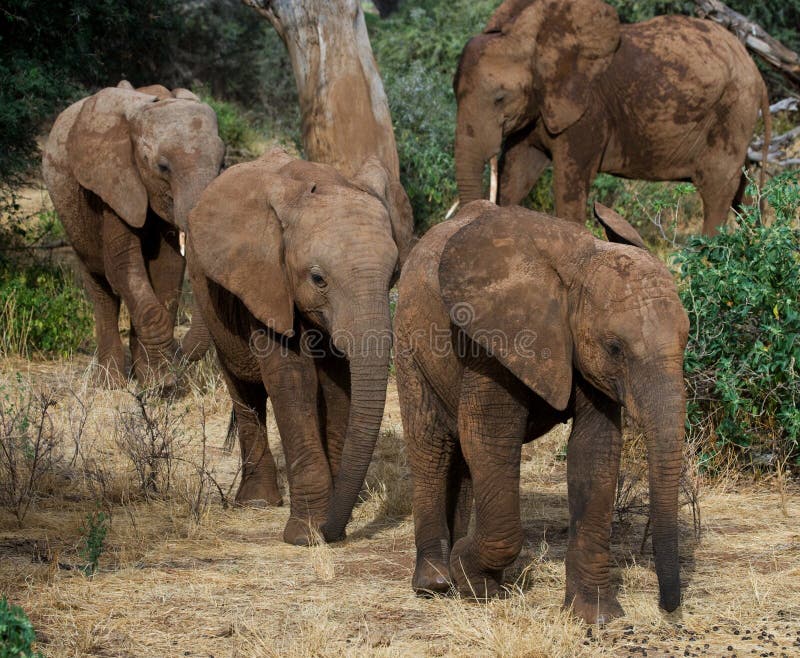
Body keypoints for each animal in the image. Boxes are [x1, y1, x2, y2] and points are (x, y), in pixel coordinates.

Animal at [43, 80, 225, 384]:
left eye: (223, 164)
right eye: (163, 167)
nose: (181, 355)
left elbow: (168, 268)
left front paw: (155, 379)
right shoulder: (111, 184)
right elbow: (122, 266)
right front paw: (164, 381)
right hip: (74, 222)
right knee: (101, 291)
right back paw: (110, 381)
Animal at [188, 147, 412, 544]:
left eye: (393, 274)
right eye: (318, 278)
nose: (333, 531)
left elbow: (338, 386)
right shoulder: (267, 282)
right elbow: (294, 383)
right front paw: (306, 535)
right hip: (212, 308)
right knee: (244, 392)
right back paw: (258, 502)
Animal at [396, 202, 692, 624]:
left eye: (687, 338)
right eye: (615, 347)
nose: (668, 607)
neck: (577, 270)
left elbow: (595, 448)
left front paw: (596, 616)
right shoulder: (493, 340)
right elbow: (489, 437)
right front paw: (474, 581)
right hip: (408, 343)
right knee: (431, 446)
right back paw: (435, 582)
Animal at [454, 0, 772, 234]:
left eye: (499, 98)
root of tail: (756, 72)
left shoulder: (588, 109)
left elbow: (568, 184)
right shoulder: (538, 105)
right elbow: (517, 173)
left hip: (733, 109)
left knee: (716, 189)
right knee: (740, 191)